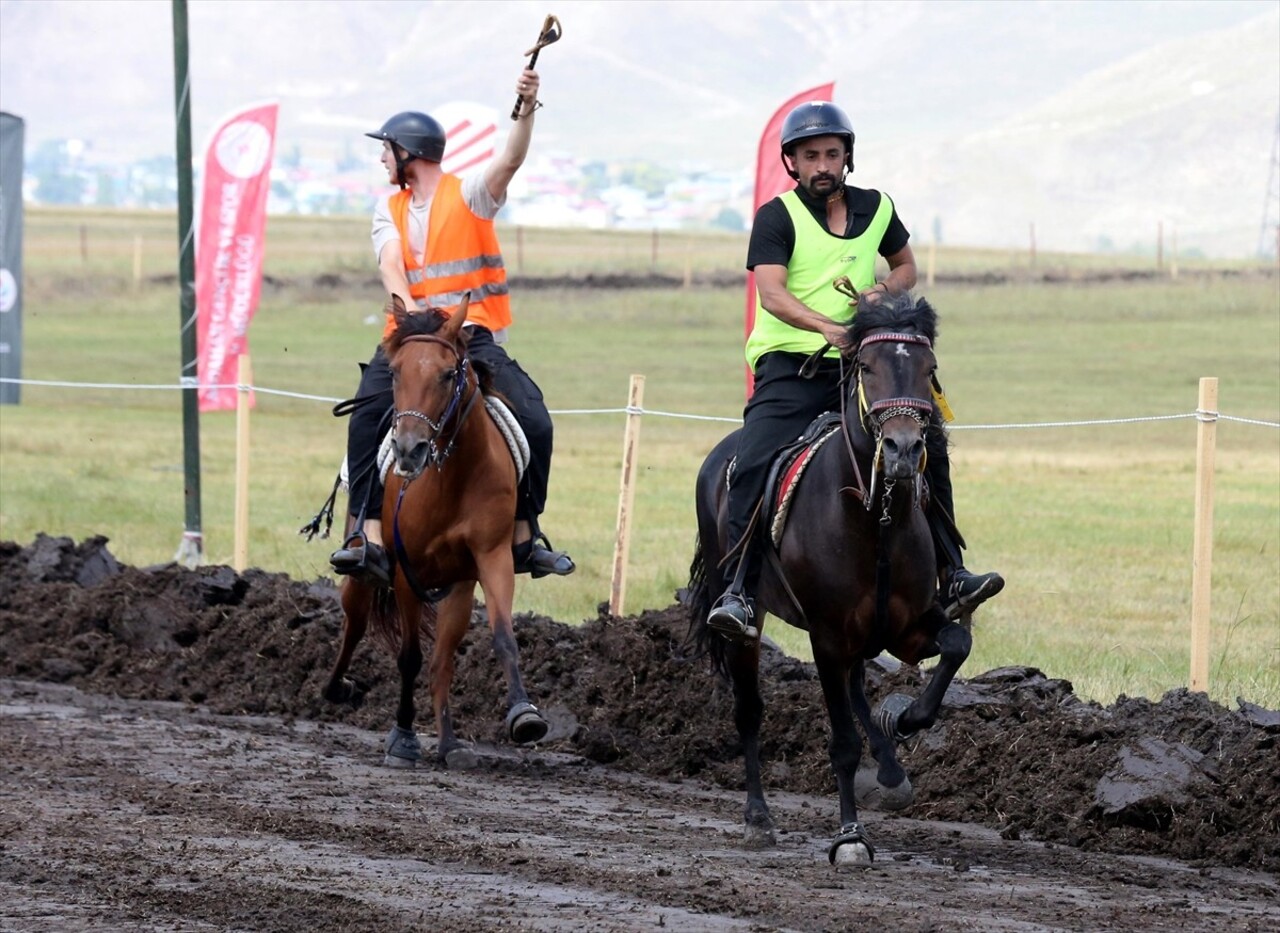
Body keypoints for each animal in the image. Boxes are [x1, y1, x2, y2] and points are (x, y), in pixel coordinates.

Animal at [322, 294, 547, 767]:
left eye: (447, 374)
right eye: (394, 372)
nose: (409, 450)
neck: (451, 478)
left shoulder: (491, 558)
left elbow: (503, 638)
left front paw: (524, 714)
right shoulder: (407, 571)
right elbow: (409, 656)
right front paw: (403, 738)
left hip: (457, 586)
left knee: (443, 660)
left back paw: (448, 743)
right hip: (363, 575)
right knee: (354, 623)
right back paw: (337, 687)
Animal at [691, 293, 967, 865]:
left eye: (928, 369)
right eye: (867, 367)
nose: (904, 449)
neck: (875, 518)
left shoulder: (910, 627)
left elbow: (957, 644)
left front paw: (901, 720)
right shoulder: (826, 636)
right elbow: (841, 741)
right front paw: (850, 837)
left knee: (859, 685)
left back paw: (891, 769)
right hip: (749, 625)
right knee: (749, 710)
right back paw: (757, 818)